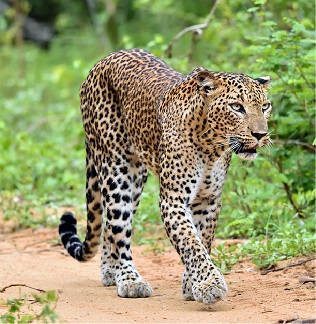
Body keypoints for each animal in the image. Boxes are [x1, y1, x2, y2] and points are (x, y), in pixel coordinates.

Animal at [58, 48, 272, 304]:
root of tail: (103, 60)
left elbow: (202, 239)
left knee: (110, 224)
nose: (261, 134)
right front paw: (209, 284)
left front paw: (192, 285)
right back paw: (129, 280)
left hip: (136, 180)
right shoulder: (173, 200)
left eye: (266, 106)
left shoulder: (208, 200)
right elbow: (190, 243)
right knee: (119, 228)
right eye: (237, 107)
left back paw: (110, 272)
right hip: (116, 170)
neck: (211, 147)